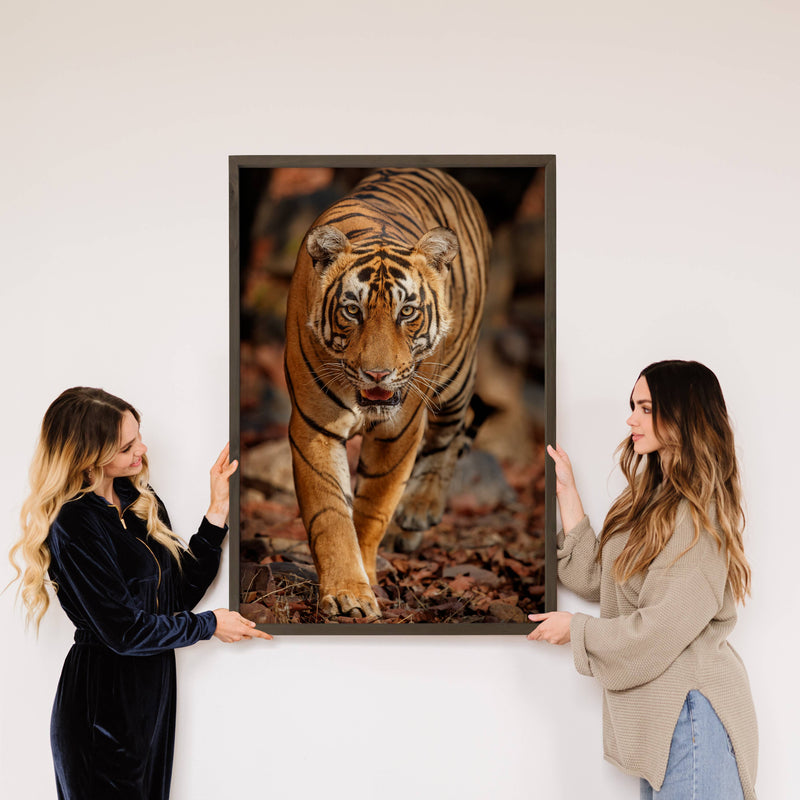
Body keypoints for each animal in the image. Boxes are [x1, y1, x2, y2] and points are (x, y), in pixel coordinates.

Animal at [284, 167, 490, 620]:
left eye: (406, 312)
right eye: (352, 311)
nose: (377, 373)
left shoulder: (400, 431)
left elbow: (373, 509)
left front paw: (365, 575)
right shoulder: (314, 428)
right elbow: (330, 514)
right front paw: (348, 593)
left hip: (455, 379)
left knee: (451, 434)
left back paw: (419, 510)